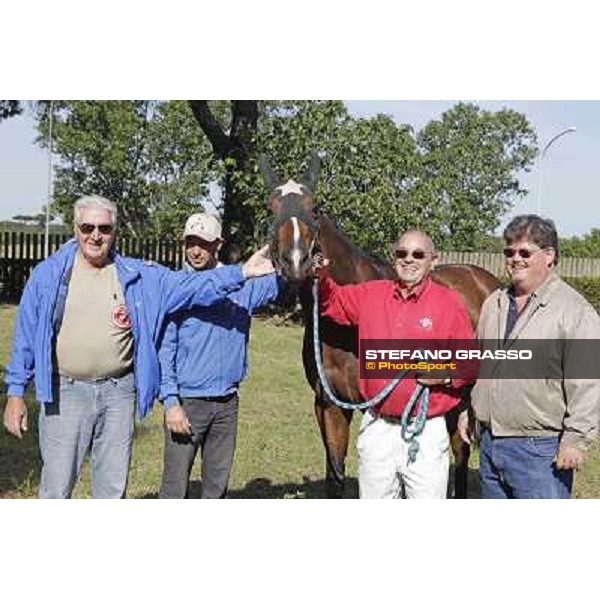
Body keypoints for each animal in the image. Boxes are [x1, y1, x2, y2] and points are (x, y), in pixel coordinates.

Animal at [260, 154, 500, 496]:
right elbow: (335, 475)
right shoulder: (329, 405)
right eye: (272, 208)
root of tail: (485, 280)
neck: (343, 328)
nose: (295, 262)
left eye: (315, 208)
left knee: (461, 451)